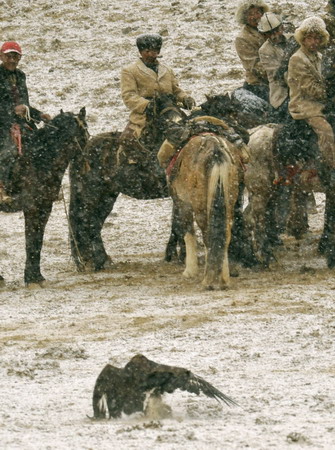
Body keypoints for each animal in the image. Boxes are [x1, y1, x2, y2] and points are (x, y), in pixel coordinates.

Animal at [0, 108, 88, 284]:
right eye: (85, 129)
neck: (40, 160)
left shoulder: (44, 207)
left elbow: (37, 240)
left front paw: (36, 276)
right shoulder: (32, 207)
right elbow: (31, 238)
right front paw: (31, 278)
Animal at [69, 93, 188, 270]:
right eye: (162, 118)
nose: (181, 131)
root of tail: (81, 151)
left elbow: (176, 222)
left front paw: (172, 255)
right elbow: (179, 222)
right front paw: (181, 256)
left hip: (107, 196)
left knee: (94, 222)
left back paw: (98, 259)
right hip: (91, 194)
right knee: (86, 220)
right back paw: (95, 260)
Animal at [168, 132, 242, 290]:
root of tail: (215, 150)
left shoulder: (182, 204)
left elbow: (188, 233)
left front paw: (190, 270)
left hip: (200, 207)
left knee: (208, 236)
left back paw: (209, 280)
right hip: (228, 203)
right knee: (225, 235)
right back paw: (223, 278)